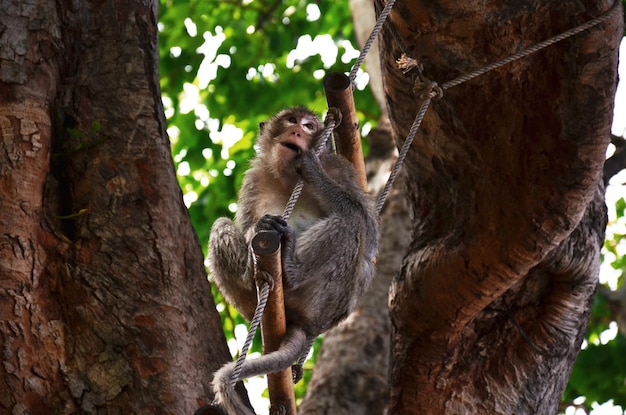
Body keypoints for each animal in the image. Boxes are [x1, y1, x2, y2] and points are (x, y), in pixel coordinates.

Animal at [207, 108, 378, 415]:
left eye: (309, 126)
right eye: (290, 120)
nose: (298, 131)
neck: (287, 177)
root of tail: (305, 323)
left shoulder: (341, 168)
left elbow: (368, 232)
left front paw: (310, 167)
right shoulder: (255, 177)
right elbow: (246, 224)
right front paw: (257, 228)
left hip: (323, 301)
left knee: (352, 223)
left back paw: (290, 268)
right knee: (221, 225)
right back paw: (254, 276)